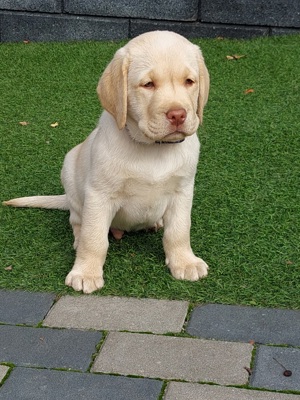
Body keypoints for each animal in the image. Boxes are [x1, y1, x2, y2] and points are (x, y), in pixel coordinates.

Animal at [3, 30, 209, 294]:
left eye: (189, 82)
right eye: (148, 84)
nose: (178, 115)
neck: (153, 148)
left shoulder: (182, 191)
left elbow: (179, 231)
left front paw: (184, 261)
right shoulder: (99, 195)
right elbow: (94, 239)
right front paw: (86, 272)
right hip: (71, 174)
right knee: (77, 220)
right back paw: (78, 239)